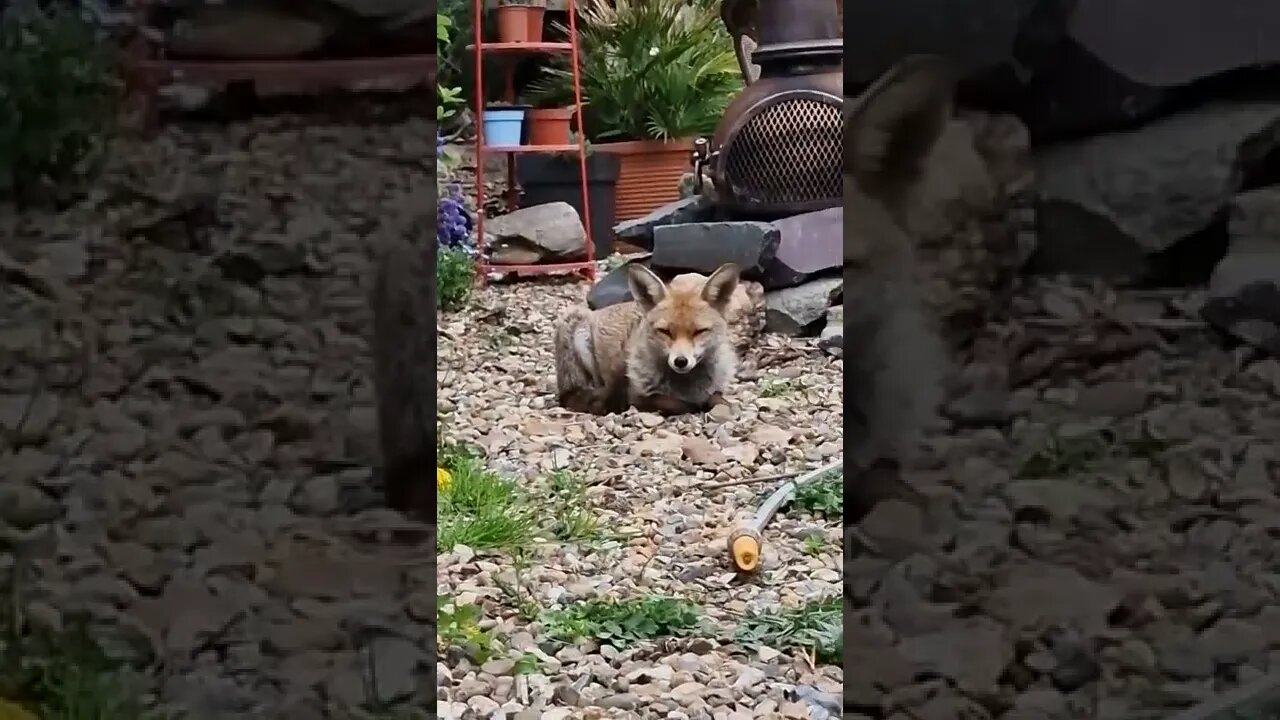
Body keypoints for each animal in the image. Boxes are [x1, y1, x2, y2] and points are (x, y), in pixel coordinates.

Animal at [552, 262, 742, 415]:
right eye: (665, 331)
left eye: (699, 331)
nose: (681, 361)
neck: (687, 388)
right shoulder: (637, 396)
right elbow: (678, 404)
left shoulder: (717, 390)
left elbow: (719, 400)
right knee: (573, 395)